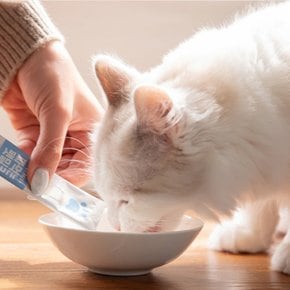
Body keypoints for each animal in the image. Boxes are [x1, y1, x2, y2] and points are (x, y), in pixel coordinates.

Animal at [92, 2, 290, 274]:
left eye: (126, 200)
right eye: (105, 196)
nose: (115, 226)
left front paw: (287, 253)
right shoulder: (267, 161)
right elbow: (260, 205)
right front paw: (248, 235)